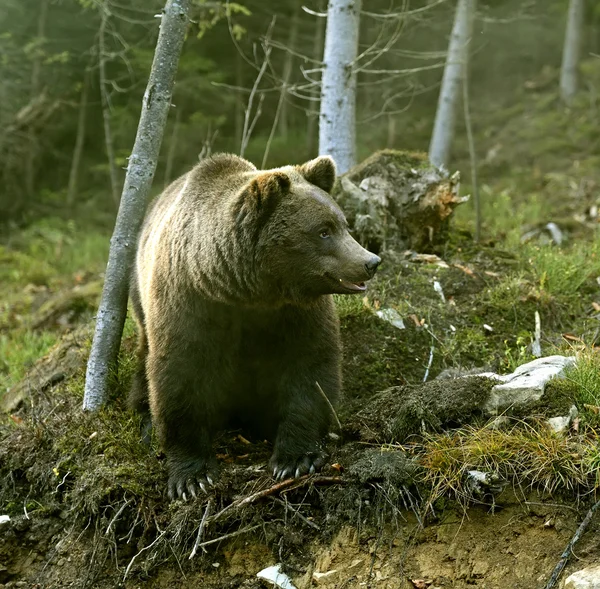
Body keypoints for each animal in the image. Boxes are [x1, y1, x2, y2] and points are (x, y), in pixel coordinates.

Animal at [129, 152, 382, 496]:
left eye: (343, 224)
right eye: (323, 231)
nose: (370, 262)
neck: (246, 291)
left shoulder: (294, 311)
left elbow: (311, 365)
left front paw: (295, 457)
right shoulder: (188, 303)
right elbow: (179, 374)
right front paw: (192, 476)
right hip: (139, 292)